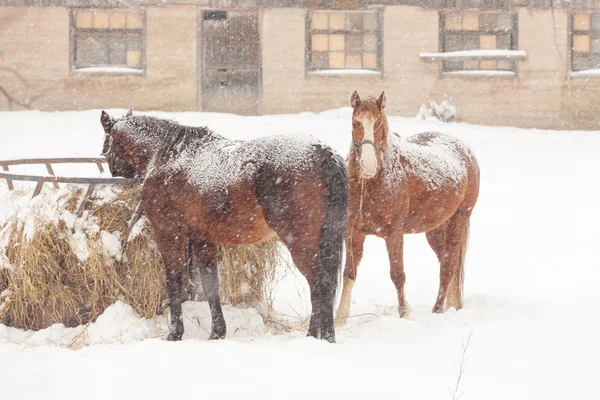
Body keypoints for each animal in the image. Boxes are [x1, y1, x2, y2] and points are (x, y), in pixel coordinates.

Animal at [101, 111, 350, 342]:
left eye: (107, 143)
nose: (114, 171)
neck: (169, 154)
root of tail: (323, 152)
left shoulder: (169, 233)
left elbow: (173, 282)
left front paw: (175, 333)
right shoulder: (203, 239)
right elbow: (210, 285)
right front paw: (217, 333)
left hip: (299, 241)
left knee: (321, 284)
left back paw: (327, 338)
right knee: (320, 287)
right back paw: (312, 335)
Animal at [336, 90, 480, 324]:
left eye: (379, 124)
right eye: (355, 123)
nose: (368, 165)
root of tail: (465, 150)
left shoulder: (394, 233)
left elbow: (397, 275)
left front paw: (404, 314)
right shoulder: (353, 232)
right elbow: (349, 273)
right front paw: (339, 318)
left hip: (458, 219)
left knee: (448, 266)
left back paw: (438, 310)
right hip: (435, 229)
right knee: (447, 262)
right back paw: (452, 306)